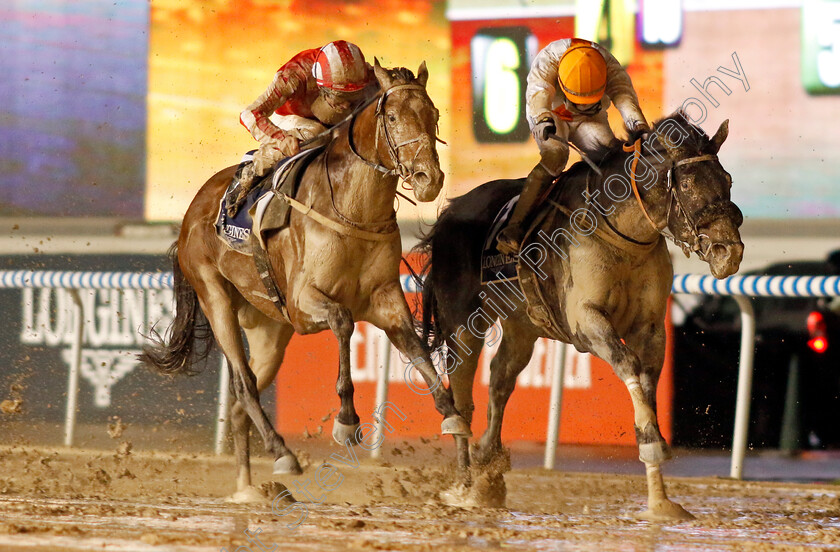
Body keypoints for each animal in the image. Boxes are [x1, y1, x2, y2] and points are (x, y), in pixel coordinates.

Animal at [144, 61, 472, 504]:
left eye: (434, 114)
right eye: (391, 117)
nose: (428, 178)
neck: (354, 211)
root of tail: (193, 209)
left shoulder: (386, 300)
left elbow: (420, 353)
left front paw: (456, 431)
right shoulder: (304, 303)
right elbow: (343, 322)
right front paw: (347, 422)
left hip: (270, 331)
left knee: (240, 403)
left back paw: (248, 486)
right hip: (215, 298)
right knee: (244, 385)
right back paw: (282, 454)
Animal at [418, 114, 740, 520]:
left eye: (727, 180)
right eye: (685, 184)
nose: (730, 251)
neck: (621, 235)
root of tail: (449, 212)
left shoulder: (651, 326)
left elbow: (647, 381)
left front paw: (660, 498)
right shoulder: (586, 321)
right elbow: (628, 364)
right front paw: (652, 447)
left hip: (523, 325)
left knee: (500, 378)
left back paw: (488, 461)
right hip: (463, 325)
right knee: (461, 396)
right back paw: (463, 484)